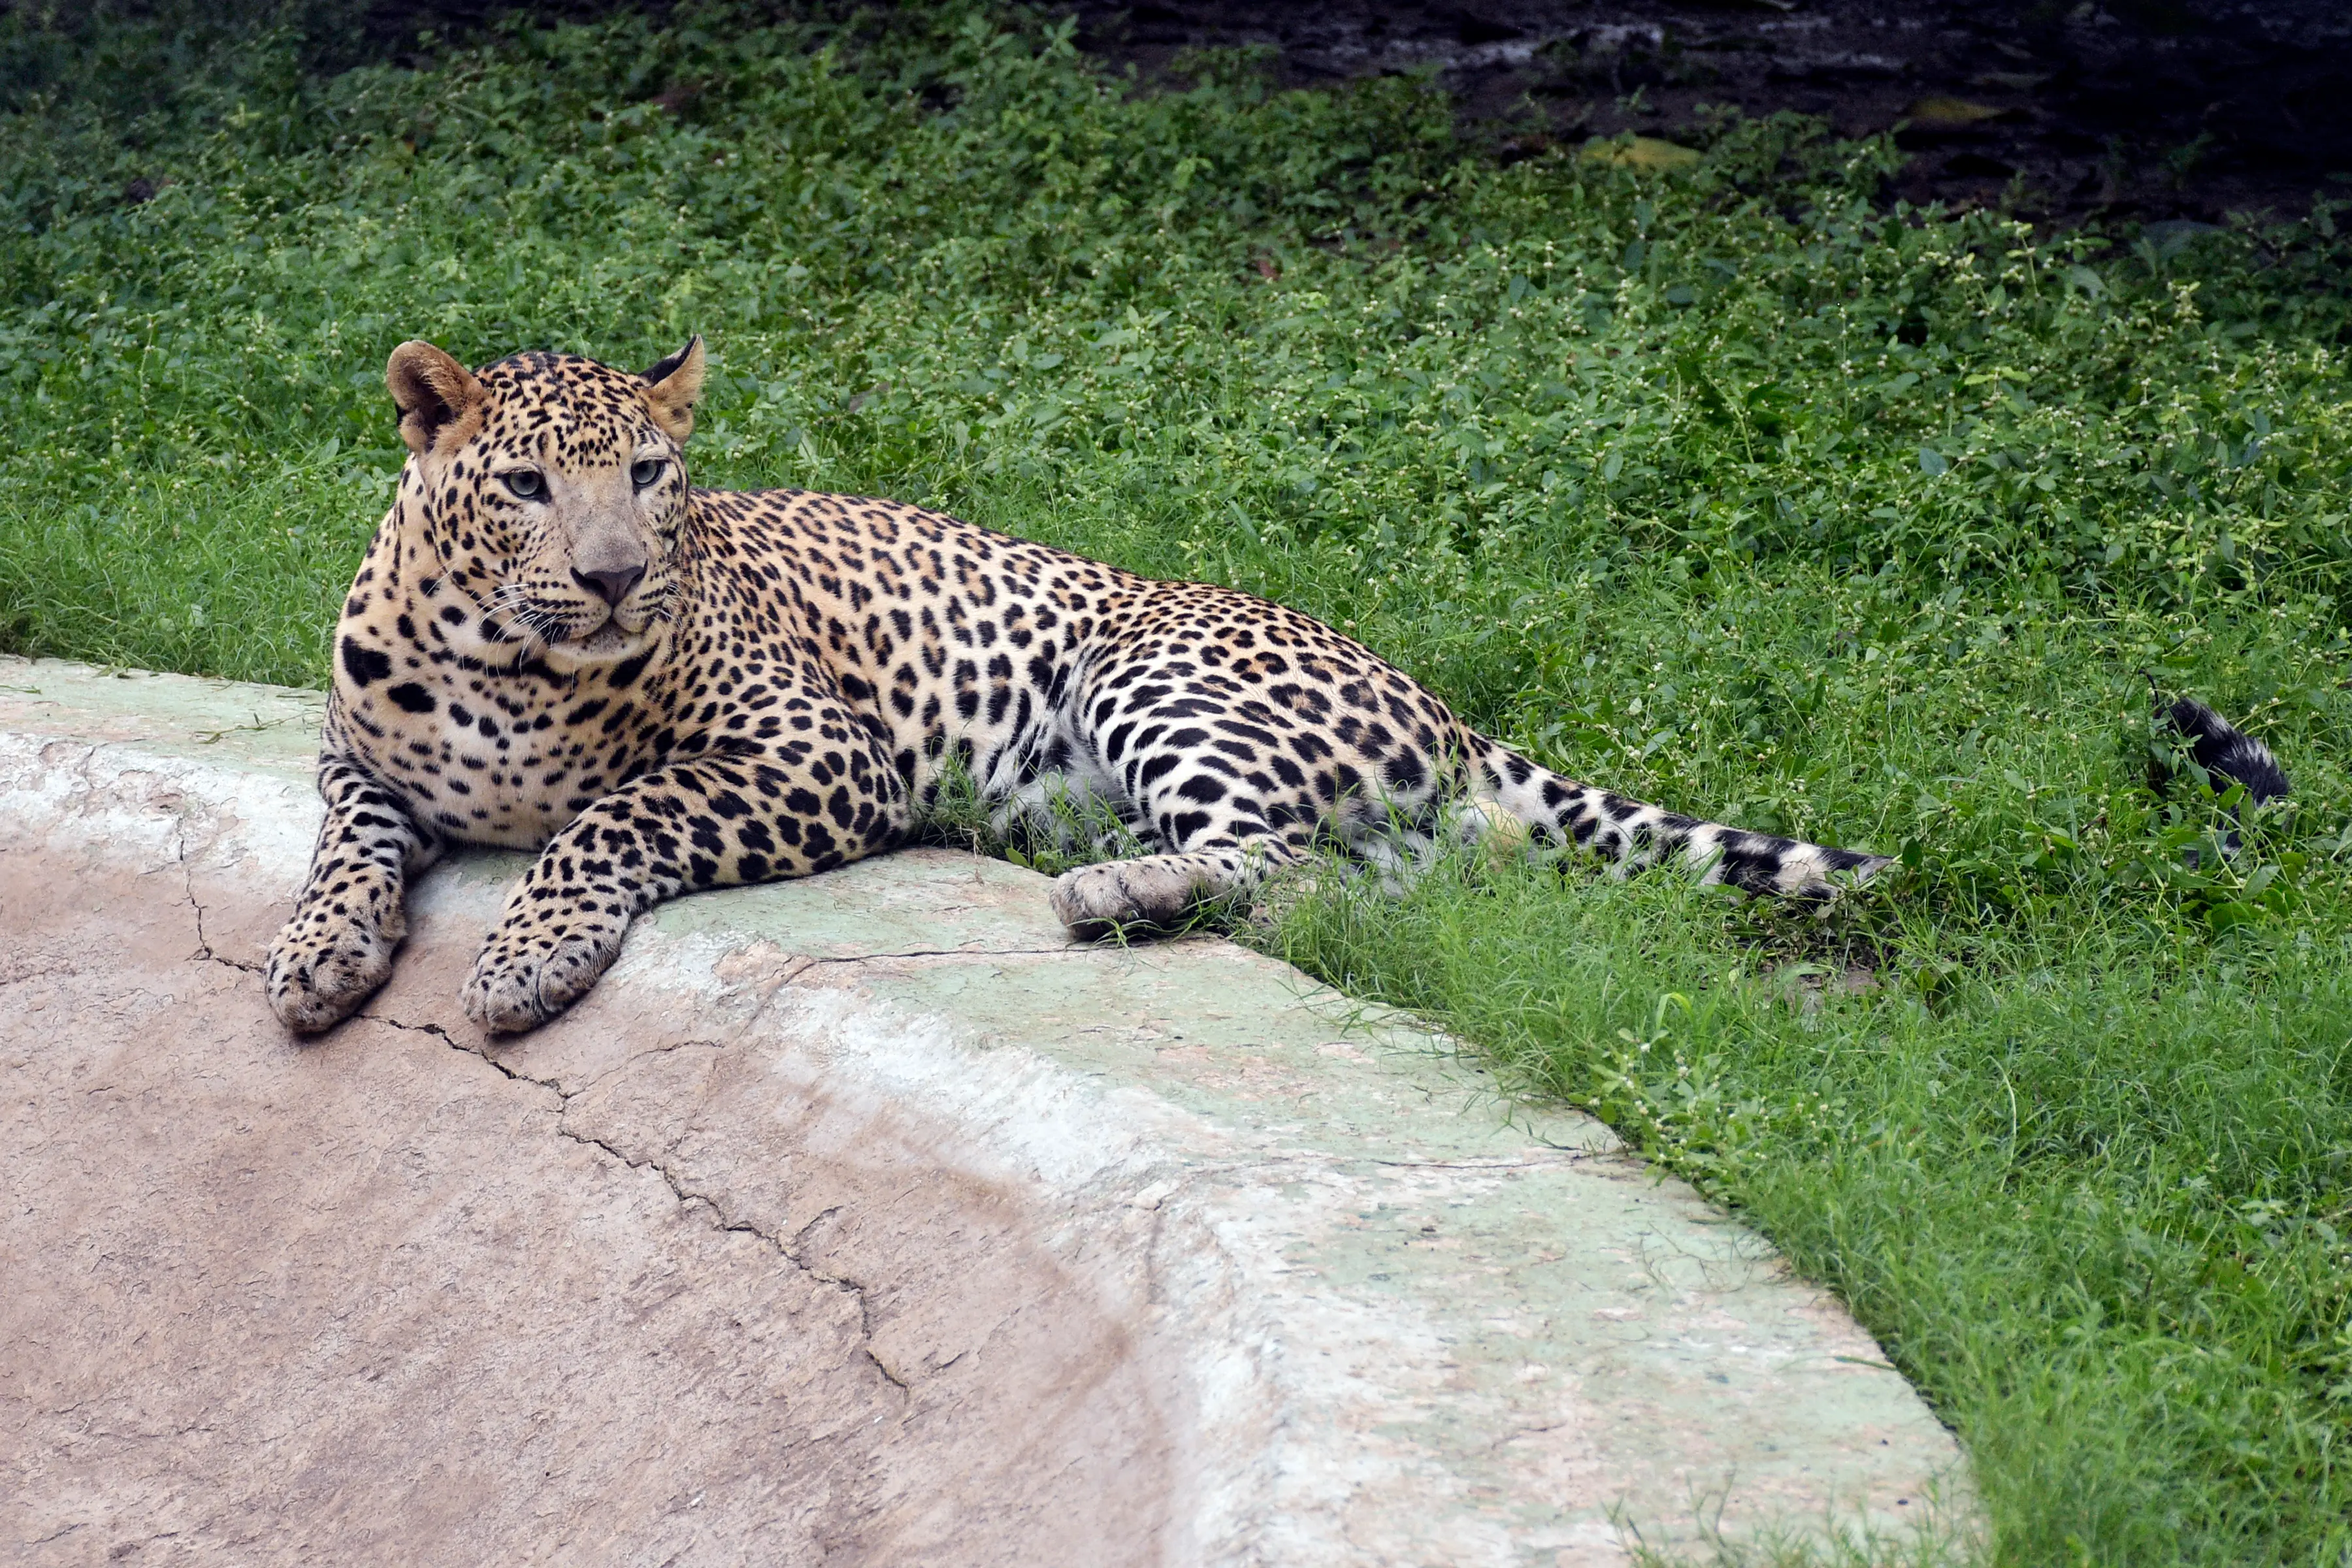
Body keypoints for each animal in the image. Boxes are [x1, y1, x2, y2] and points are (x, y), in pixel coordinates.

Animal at [265, 337, 1891, 1037]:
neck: (505, 660)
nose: (612, 579)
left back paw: (1119, 895)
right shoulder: (359, 764)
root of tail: (1442, 704)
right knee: (1387, 888)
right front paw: (316, 955)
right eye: (528, 486)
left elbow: (607, 821)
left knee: (1288, 861)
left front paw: (524, 960)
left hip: (1146, 669)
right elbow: (346, 845)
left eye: (651, 477)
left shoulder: (815, 756)